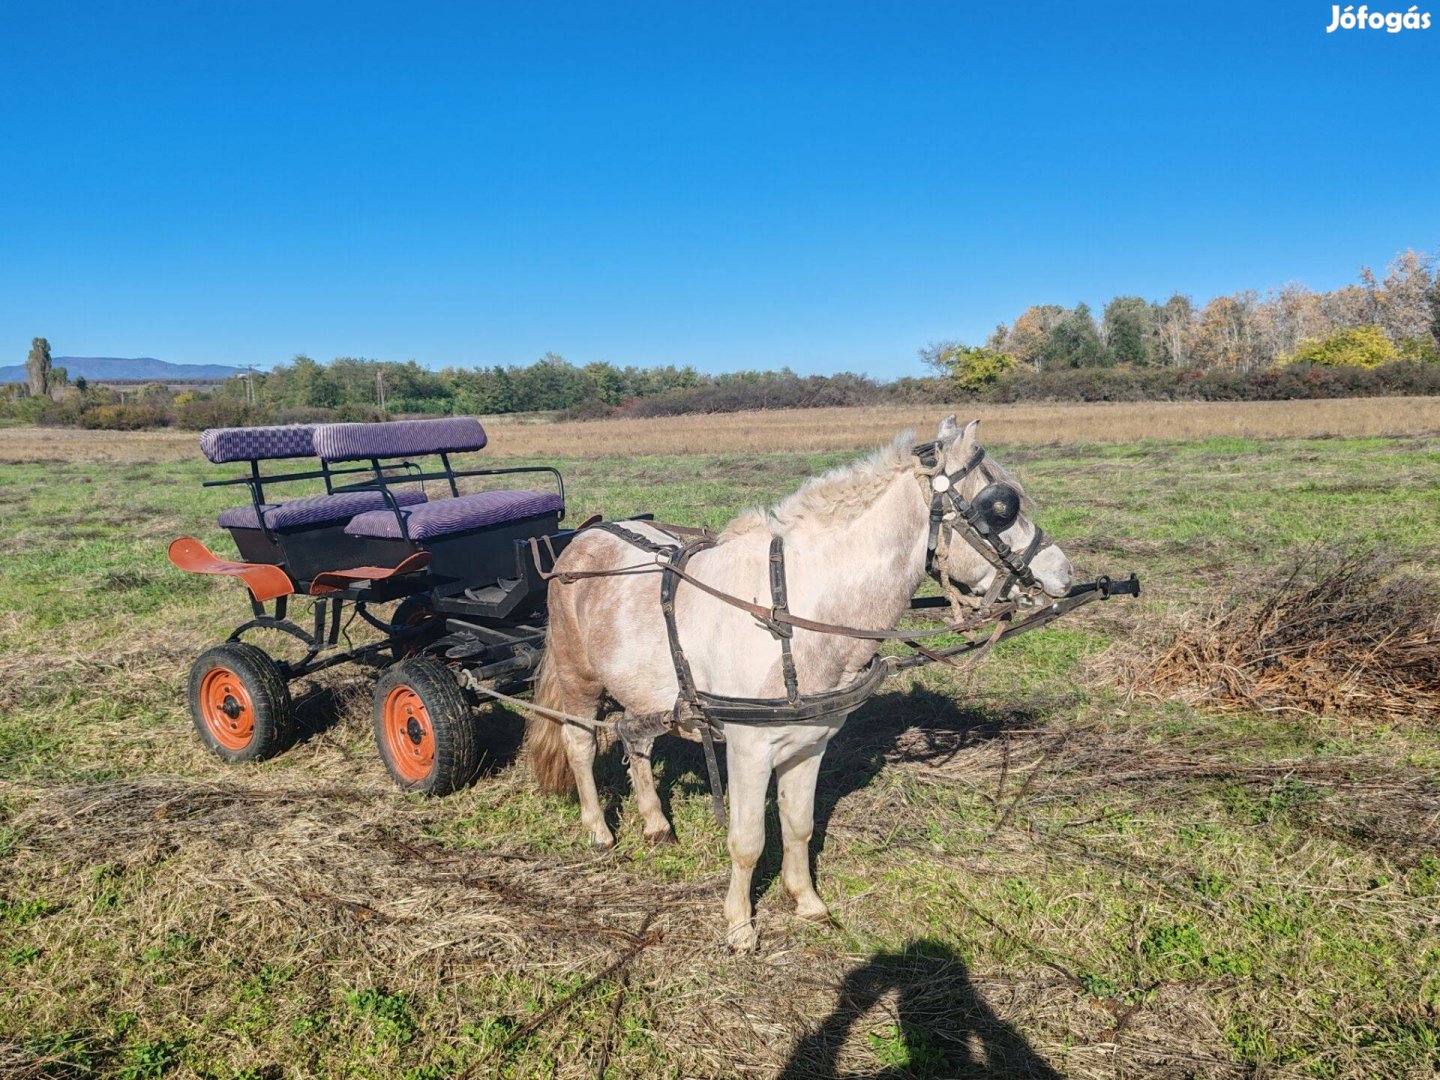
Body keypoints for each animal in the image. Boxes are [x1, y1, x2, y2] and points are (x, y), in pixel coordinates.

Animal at [521, 414, 1071, 944]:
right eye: (1002, 507)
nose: (1063, 573)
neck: (792, 612)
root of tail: (583, 538)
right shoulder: (747, 749)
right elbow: (747, 842)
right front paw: (739, 926)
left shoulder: (810, 743)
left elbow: (799, 825)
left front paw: (806, 901)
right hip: (577, 679)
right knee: (579, 746)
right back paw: (598, 831)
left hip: (641, 691)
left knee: (636, 740)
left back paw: (656, 823)